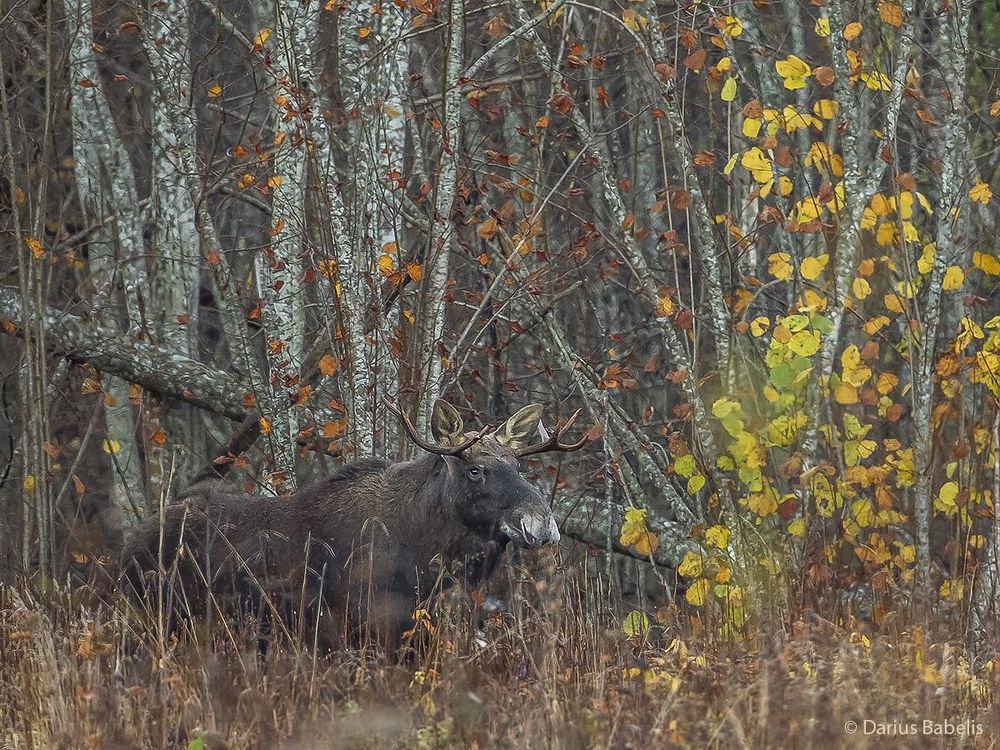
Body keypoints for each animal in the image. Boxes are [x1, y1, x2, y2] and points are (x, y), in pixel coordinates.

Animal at [120, 399, 587, 650]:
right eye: (475, 470)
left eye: (517, 465)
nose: (541, 524)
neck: (425, 557)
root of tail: (131, 542)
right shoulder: (364, 629)